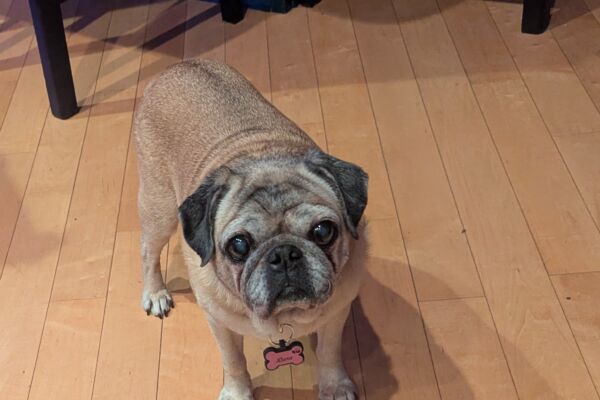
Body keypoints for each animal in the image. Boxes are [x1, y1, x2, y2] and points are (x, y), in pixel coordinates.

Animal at [135, 60, 368, 400]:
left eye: (324, 231)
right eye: (239, 245)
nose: (284, 254)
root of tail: (180, 65)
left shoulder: (336, 314)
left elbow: (329, 352)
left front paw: (334, 386)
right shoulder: (219, 323)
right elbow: (233, 360)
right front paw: (237, 391)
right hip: (160, 210)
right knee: (149, 251)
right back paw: (155, 292)